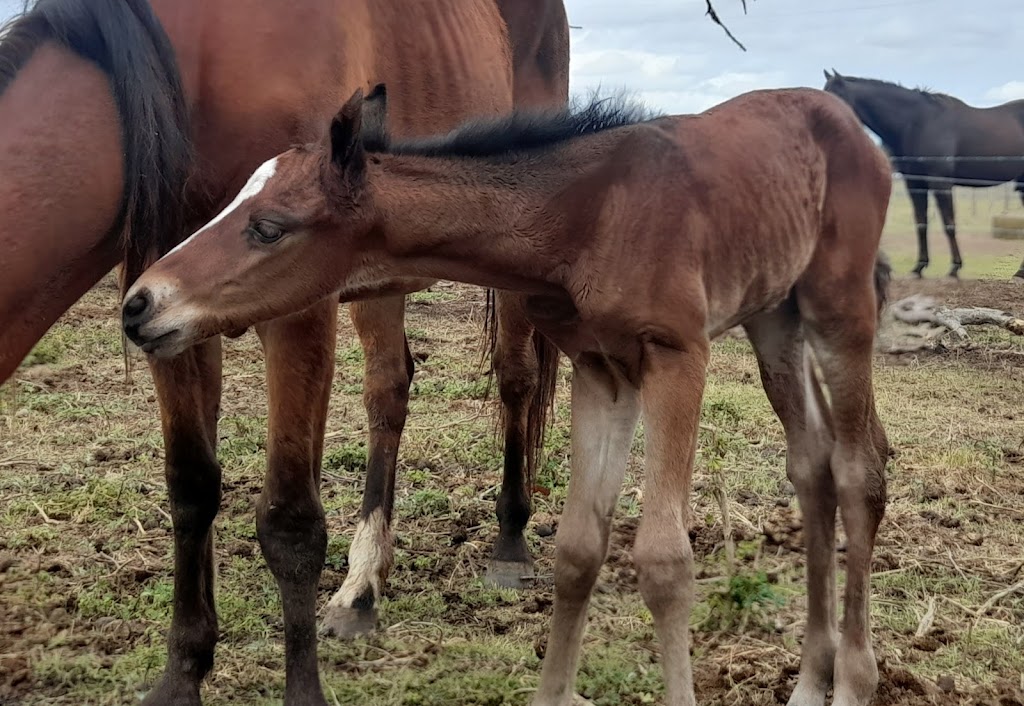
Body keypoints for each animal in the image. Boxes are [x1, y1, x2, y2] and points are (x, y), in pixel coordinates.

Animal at [0, 1, 567, 702]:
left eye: (270, 228)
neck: (197, 64)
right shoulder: (171, 307)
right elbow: (192, 488)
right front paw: (182, 675)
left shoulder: (296, 308)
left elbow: (290, 520)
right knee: (389, 391)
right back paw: (361, 589)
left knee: (515, 378)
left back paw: (510, 542)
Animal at [123, 86, 894, 706]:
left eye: (268, 226)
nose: (139, 304)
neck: (589, 214)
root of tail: (849, 123)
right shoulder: (602, 367)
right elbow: (579, 547)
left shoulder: (678, 356)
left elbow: (665, 561)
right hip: (774, 317)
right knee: (812, 467)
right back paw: (810, 681)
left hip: (839, 309)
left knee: (860, 472)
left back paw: (854, 681)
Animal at [823, 69, 1024, 279]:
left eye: (835, 95)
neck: (918, 122)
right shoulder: (915, 183)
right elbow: (921, 223)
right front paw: (919, 267)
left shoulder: (940, 182)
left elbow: (949, 223)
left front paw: (954, 267)